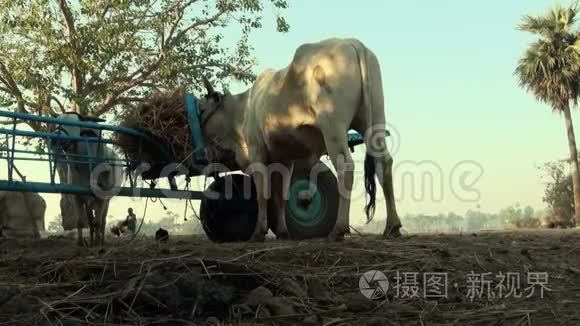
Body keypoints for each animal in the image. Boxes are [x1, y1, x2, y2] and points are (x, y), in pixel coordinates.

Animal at [48, 113, 123, 246]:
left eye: (76, 124)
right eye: (57, 123)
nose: (55, 138)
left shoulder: (101, 198)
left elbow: (98, 222)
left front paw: (97, 243)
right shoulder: (77, 197)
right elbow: (80, 222)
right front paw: (80, 243)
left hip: (106, 200)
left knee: (102, 221)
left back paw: (100, 240)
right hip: (89, 202)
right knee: (91, 220)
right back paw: (92, 240)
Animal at [197, 38, 402, 242]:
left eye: (203, 109)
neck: (244, 109)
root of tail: (352, 43)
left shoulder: (257, 152)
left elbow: (263, 193)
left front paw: (259, 232)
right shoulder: (285, 160)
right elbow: (281, 195)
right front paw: (282, 232)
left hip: (333, 127)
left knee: (345, 167)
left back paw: (339, 228)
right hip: (374, 122)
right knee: (383, 163)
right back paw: (392, 226)